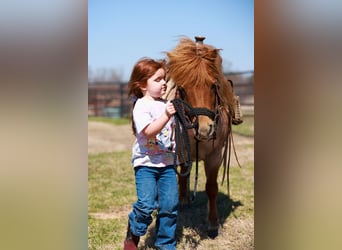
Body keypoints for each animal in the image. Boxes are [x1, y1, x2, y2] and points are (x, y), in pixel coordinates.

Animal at [164, 36, 240, 237]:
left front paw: (213, 224)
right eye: (182, 88)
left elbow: (211, 188)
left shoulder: (215, 155)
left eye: (213, 85)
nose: (204, 128)